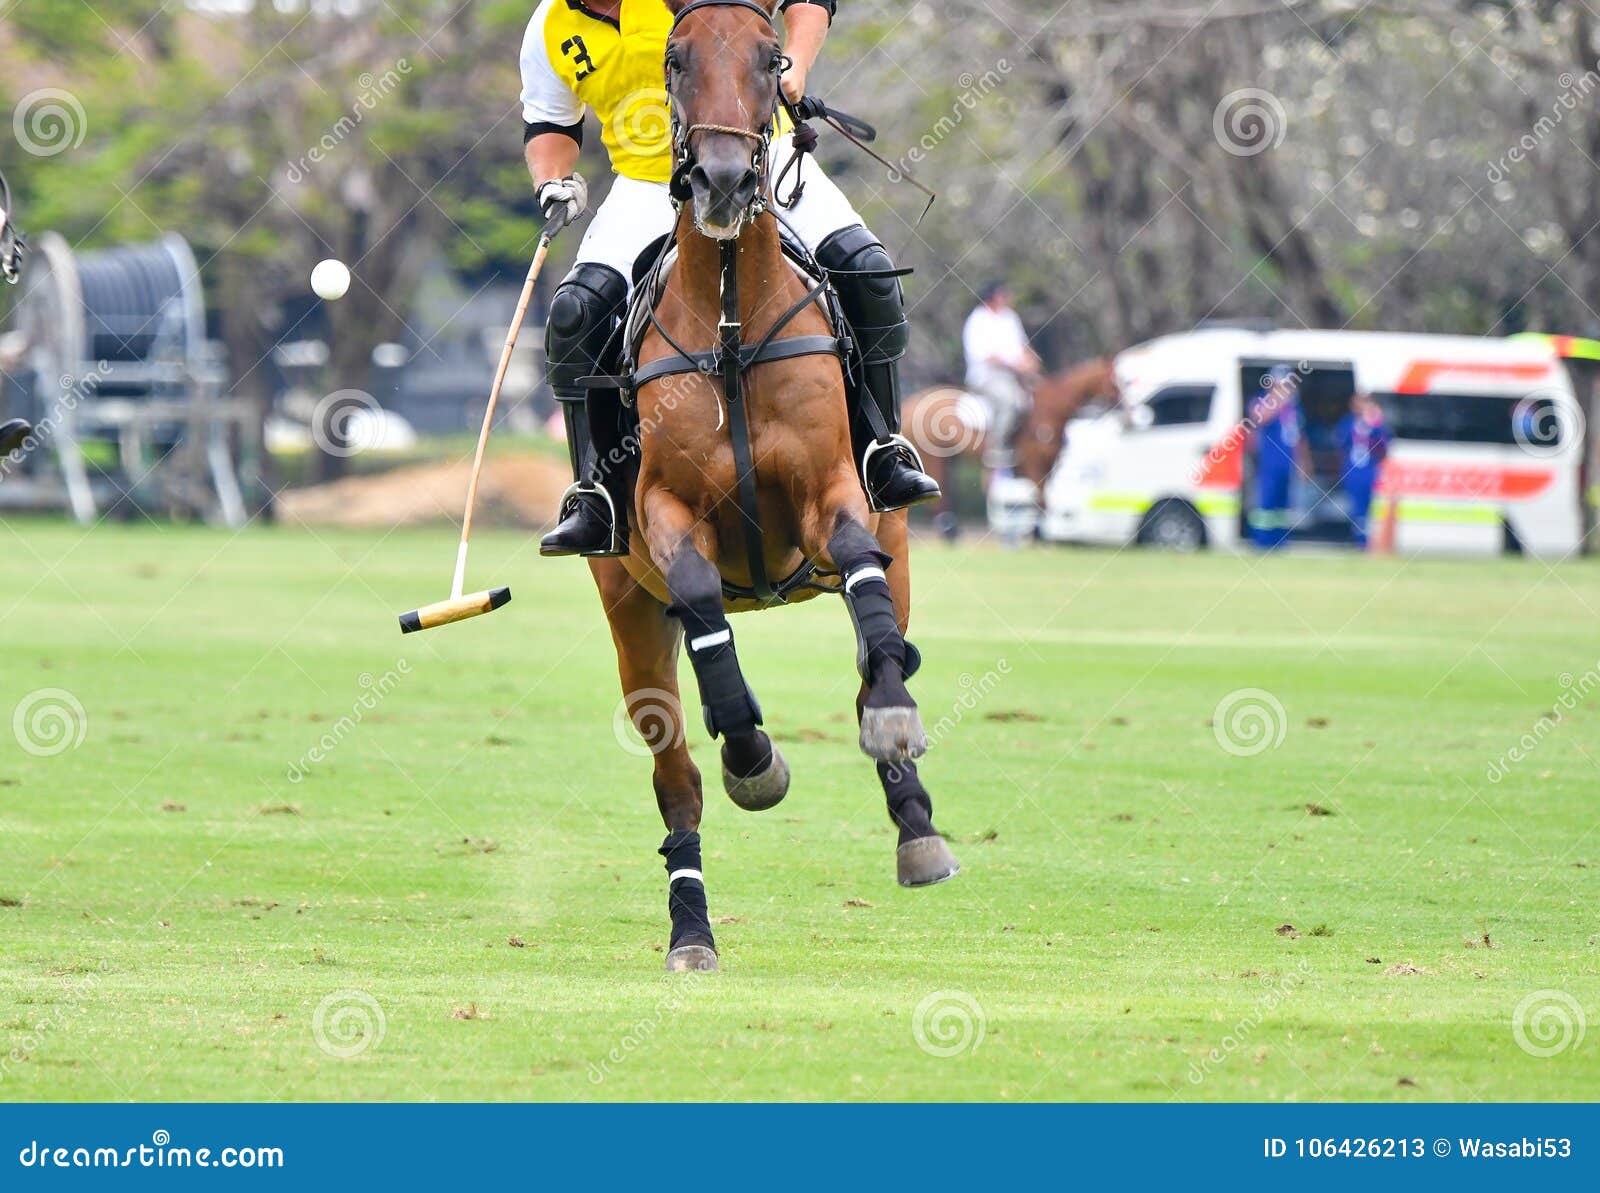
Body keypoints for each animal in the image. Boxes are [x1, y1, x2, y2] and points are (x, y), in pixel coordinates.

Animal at [587, 0, 958, 973]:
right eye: (676, 60)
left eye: (771, 60)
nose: (720, 181)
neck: (728, 317)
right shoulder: (664, 514)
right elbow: (699, 597)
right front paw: (753, 755)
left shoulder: (834, 494)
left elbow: (863, 582)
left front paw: (896, 729)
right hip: (626, 613)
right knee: (676, 778)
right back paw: (691, 929)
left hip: (896, 545)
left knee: (876, 649)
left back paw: (916, 823)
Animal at [904, 356, 1120, 536]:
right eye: (1113, 381)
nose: (1123, 409)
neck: (1049, 411)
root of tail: (911, 402)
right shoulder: (1034, 463)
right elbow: (1041, 499)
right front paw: (1038, 536)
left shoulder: (1049, 463)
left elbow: (1043, 500)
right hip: (934, 458)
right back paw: (950, 533)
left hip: (949, 459)